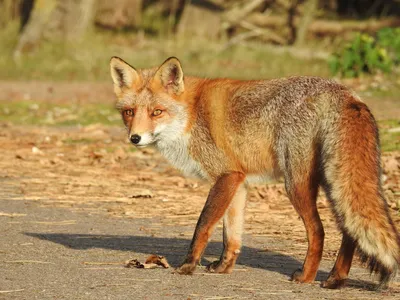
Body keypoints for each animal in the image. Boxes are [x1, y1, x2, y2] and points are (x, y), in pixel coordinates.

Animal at [109, 55, 400, 288]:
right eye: (129, 112)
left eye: (157, 112)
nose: (135, 138)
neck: (191, 115)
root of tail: (344, 92)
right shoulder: (238, 181)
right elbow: (231, 235)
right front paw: (223, 267)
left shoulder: (225, 176)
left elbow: (203, 225)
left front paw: (188, 265)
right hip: (333, 183)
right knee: (350, 232)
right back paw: (335, 279)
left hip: (297, 184)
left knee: (319, 231)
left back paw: (306, 277)